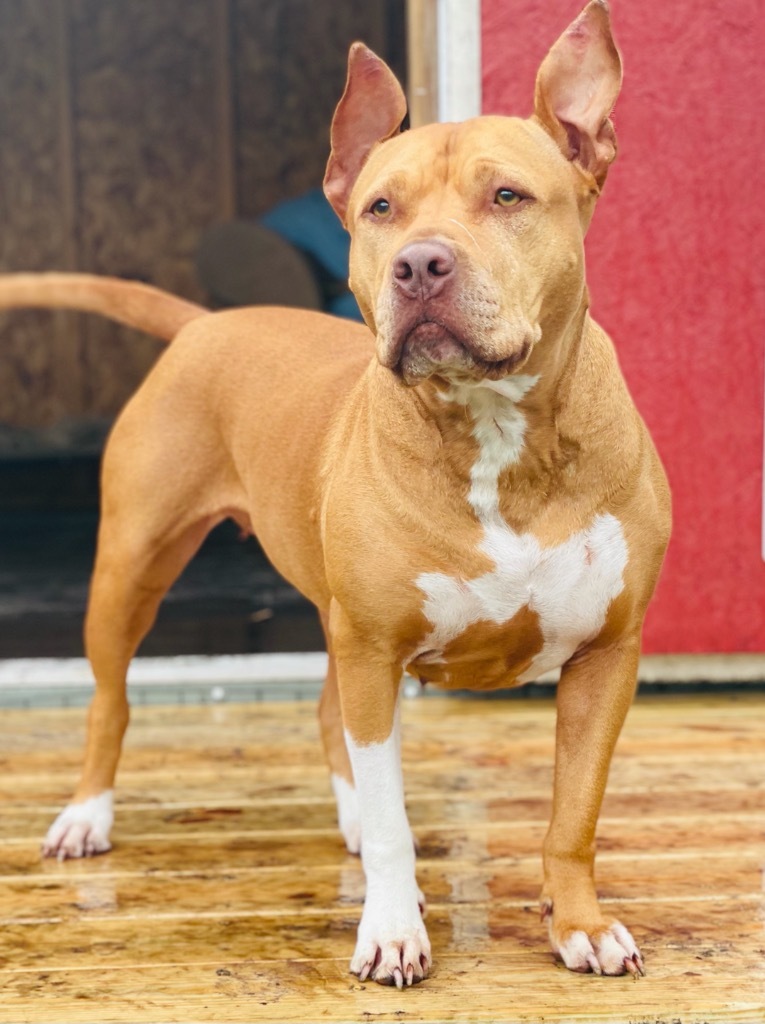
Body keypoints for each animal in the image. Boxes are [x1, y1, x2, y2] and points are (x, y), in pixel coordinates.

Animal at [0, 0, 671, 991]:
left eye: (508, 198)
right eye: (380, 209)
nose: (419, 265)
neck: (493, 435)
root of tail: (205, 324)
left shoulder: (605, 654)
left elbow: (572, 816)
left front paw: (578, 923)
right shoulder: (372, 647)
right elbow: (397, 828)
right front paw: (390, 929)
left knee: (332, 720)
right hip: (130, 569)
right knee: (112, 699)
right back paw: (88, 814)